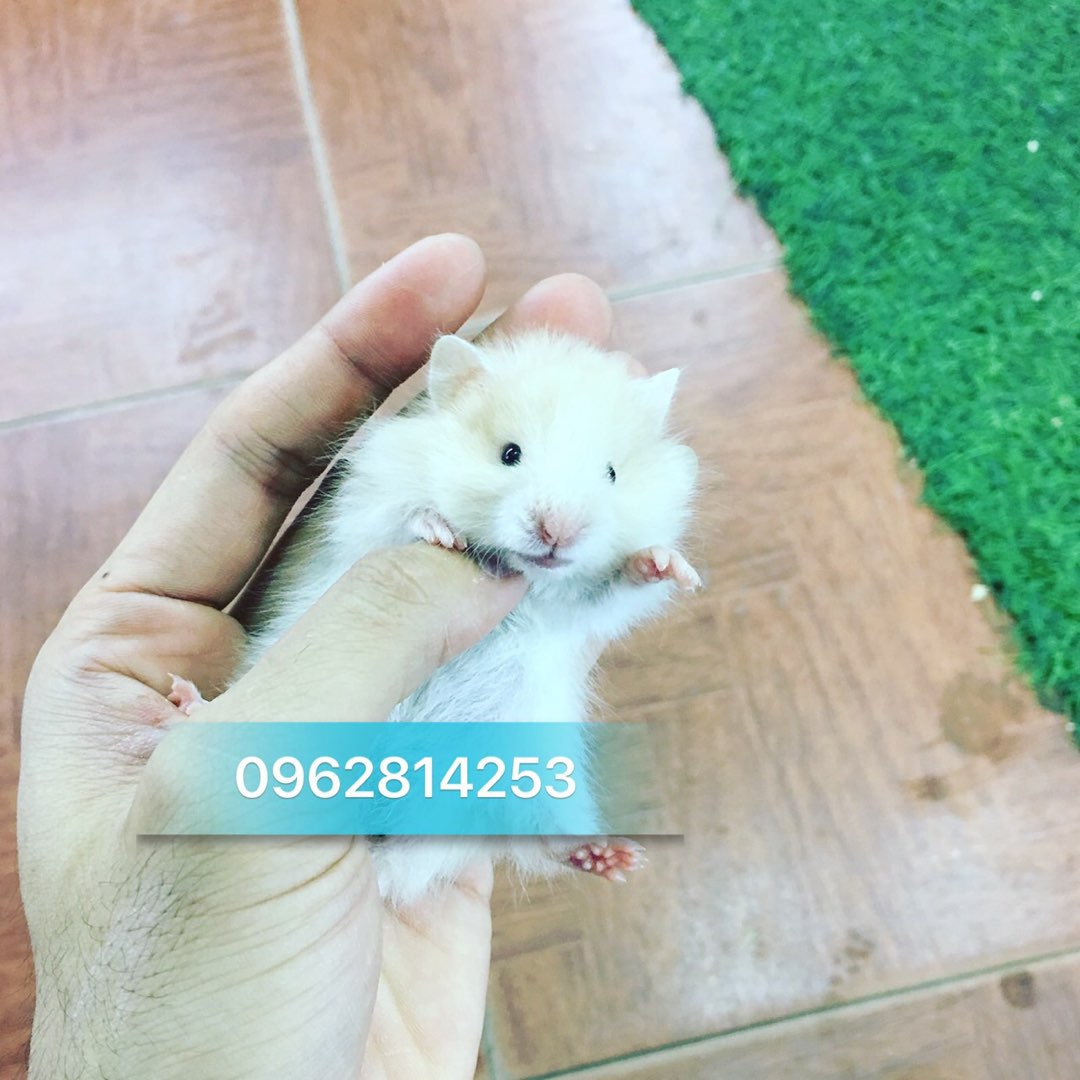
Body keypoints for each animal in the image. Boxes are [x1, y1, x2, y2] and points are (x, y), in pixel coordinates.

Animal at [175, 329, 700, 907]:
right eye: (509, 454)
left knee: (532, 841)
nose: (557, 532)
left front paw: (670, 567)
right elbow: (399, 520)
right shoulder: (364, 511)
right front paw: (441, 530)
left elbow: (613, 585)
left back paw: (611, 856)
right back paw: (186, 702)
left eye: (611, 473)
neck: (527, 574)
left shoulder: (579, 607)